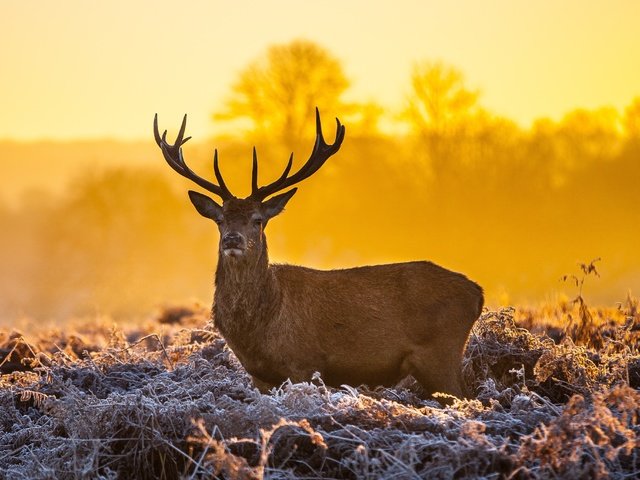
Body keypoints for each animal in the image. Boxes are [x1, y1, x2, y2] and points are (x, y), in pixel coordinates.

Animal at [155, 109, 482, 398]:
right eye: (220, 220)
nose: (232, 239)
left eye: (257, 219)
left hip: (439, 353)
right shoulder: (259, 376)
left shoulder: (304, 363)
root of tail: (476, 292)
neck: (258, 328)